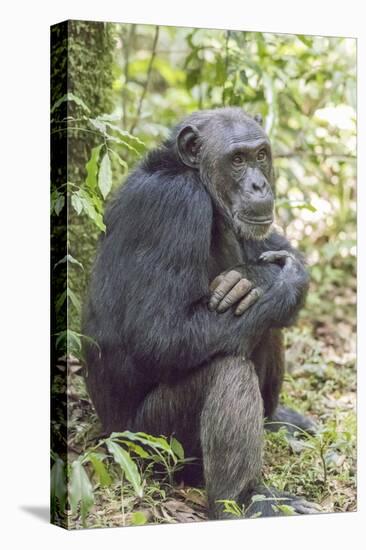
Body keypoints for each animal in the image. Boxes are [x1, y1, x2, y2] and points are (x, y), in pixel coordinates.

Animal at [83, 108, 320, 520]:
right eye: (237, 160)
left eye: (260, 154)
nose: (258, 184)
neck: (192, 176)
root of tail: (110, 439)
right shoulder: (175, 206)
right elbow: (161, 335)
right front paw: (267, 277)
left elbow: (275, 247)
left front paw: (267, 275)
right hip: (154, 446)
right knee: (227, 370)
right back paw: (245, 500)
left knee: (265, 321)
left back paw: (277, 420)